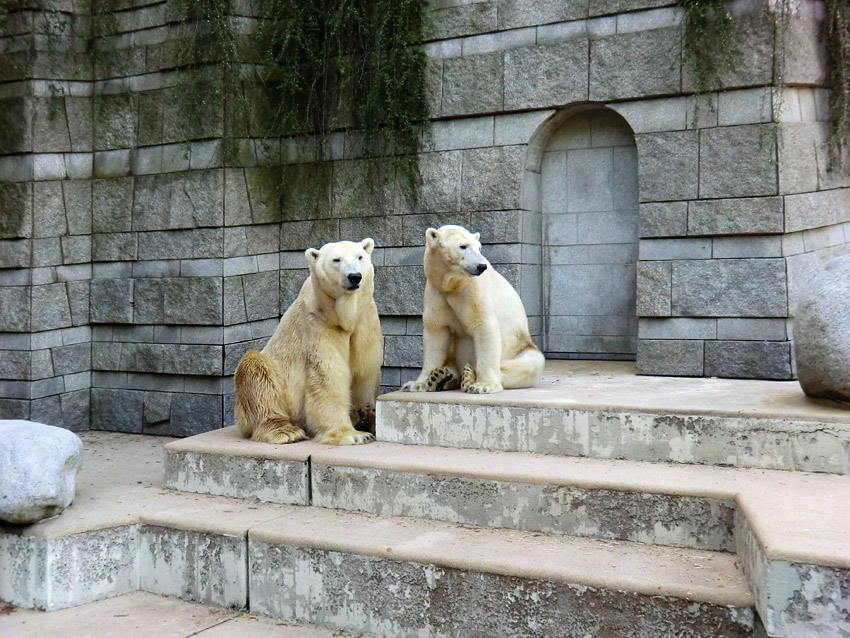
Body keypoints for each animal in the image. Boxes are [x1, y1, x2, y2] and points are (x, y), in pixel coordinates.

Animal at [230, 239, 380, 444]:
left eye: (360, 257)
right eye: (336, 259)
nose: (354, 277)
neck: (343, 315)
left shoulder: (365, 321)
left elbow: (366, 370)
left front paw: (366, 416)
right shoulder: (317, 324)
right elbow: (327, 376)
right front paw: (353, 435)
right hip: (272, 380)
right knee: (256, 372)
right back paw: (286, 432)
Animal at [400, 225, 544, 396]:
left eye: (479, 247)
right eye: (463, 246)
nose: (481, 266)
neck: (452, 285)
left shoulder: (473, 292)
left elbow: (484, 327)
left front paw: (483, 385)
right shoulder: (436, 293)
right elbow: (435, 334)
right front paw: (417, 384)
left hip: (521, 348)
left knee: (528, 364)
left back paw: (469, 374)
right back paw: (441, 376)